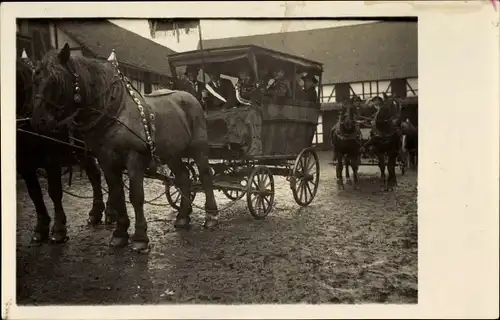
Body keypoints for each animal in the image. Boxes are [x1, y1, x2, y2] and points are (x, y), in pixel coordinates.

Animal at [16, 58, 115, 245]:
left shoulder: (51, 160)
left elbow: (54, 192)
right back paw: (96, 212)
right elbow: (35, 194)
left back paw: (111, 212)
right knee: (95, 175)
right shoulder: (25, 165)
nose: (39, 121)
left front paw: (58, 229)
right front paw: (41, 228)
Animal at [30, 43, 219, 252]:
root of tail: (191, 97)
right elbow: (118, 194)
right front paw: (119, 234)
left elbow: (135, 196)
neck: (114, 111)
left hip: (198, 148)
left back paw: (211, 215)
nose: (38, 122)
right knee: (183, 177)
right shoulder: (106, 160)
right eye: (35, 79)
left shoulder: (134, 158)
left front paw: (140, 237)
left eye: (56, 81)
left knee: (205, 175)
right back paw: (183, 217)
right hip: (171, 153)